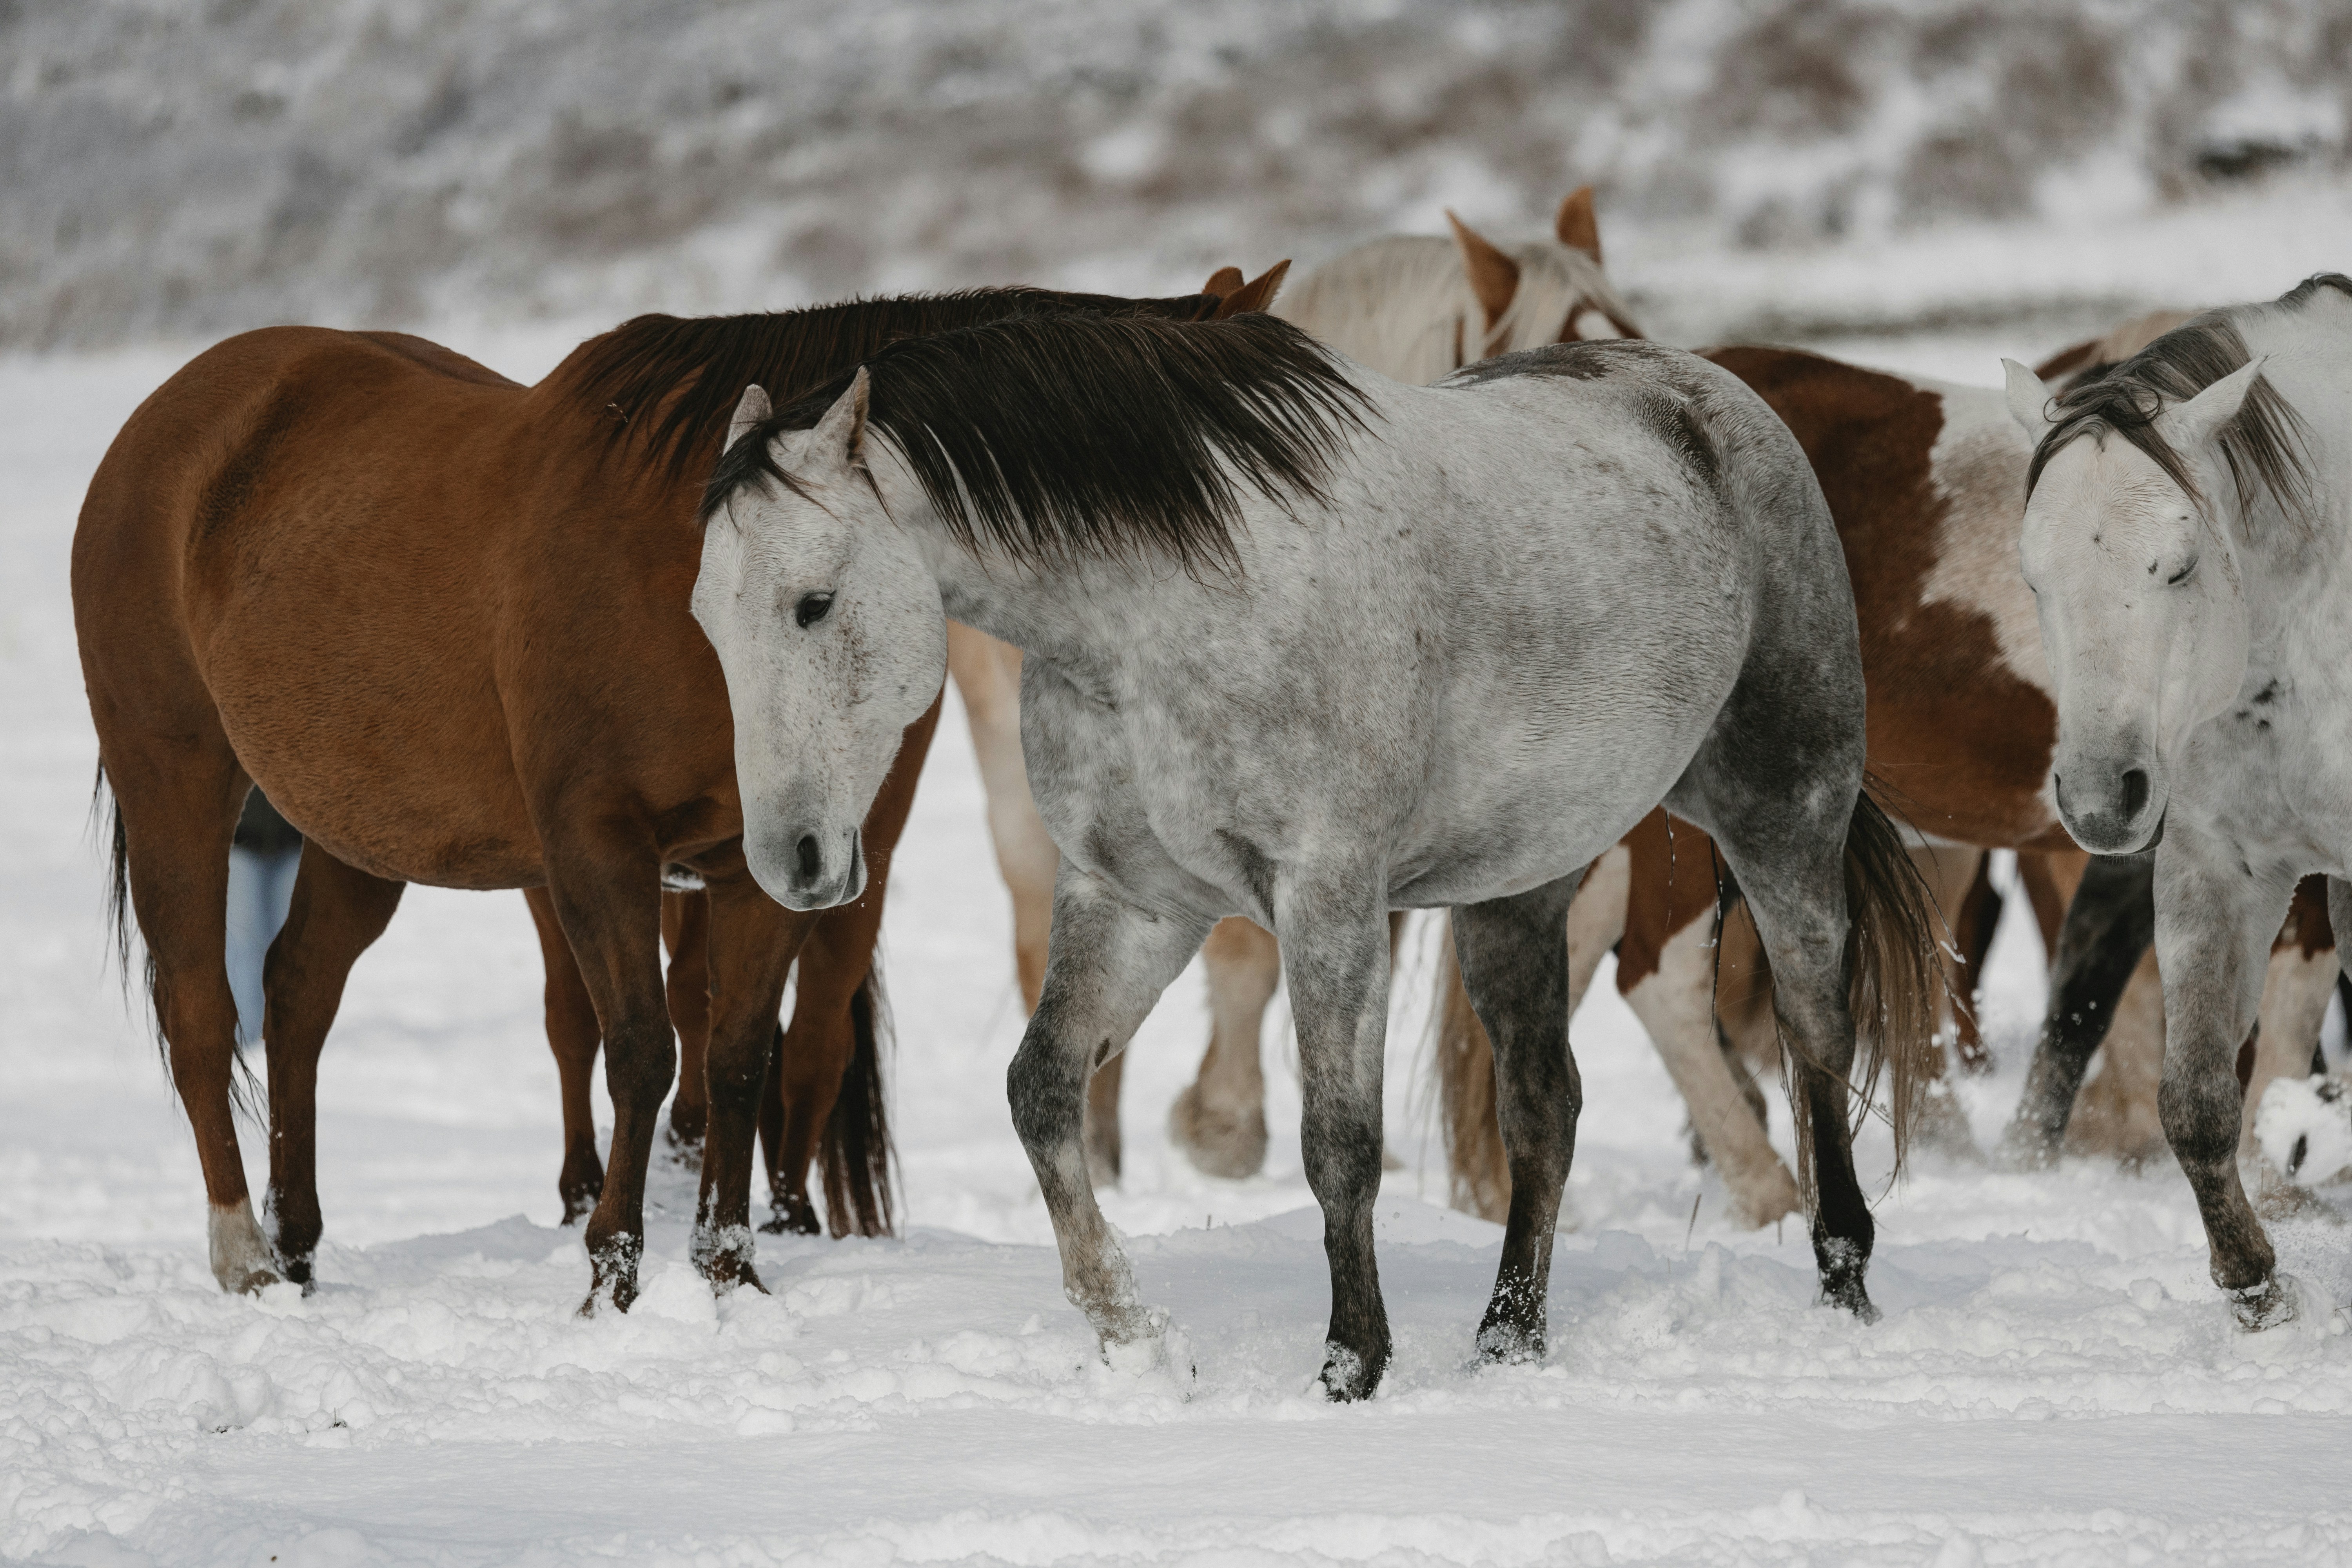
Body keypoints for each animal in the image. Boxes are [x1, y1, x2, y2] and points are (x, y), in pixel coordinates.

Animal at [74, 282, 1247, 1309]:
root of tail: (171, 418)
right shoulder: (598, 849)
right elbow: (639, 1052)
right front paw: (614, 1272)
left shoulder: (771, 863)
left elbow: (737, 1058)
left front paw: (729, 1266)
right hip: (176, 775)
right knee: (202, 1009)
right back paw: (243, 1256)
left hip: (360, 832)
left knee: (298, 992)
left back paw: (302, 1241)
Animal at [689, 309, 1938, 1397]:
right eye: (708, 619)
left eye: (813, 603)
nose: (793, 858)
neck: (1160, 615)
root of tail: (1709, 395)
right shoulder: (1135, 901)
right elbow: (1041, 1090)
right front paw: (1133, 1335)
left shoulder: (1327, 898)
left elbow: (1339, 1141)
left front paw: (1351, 1365)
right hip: (1522, 888)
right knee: (1546, 1105)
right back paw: (1510, 1340)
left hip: (1784, 816)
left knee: (1817, 1042)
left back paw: (1843, 1282)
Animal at [2001, 274, 2352, 1328]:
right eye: (2035, 575)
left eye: (2181, 565)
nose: (2099, 795)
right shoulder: (2215, 869)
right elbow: (2193, 1098)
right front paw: (2254, 1283)